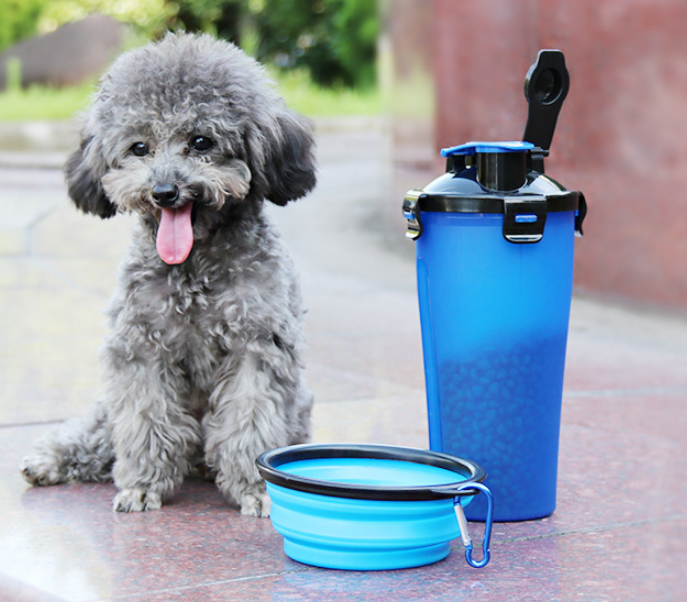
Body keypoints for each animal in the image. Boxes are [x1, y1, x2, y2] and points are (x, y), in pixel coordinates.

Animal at [20, 31, 318, 516]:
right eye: (139, 147)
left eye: (201, 141)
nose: (164, 191)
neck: (194, 270)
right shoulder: (140, 348)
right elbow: (145, 420)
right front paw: (143, 485)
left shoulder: (256, 346)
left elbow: (249, 421)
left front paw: (255, 488)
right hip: (106, 407)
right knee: (96, 435)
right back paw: (49, 459)